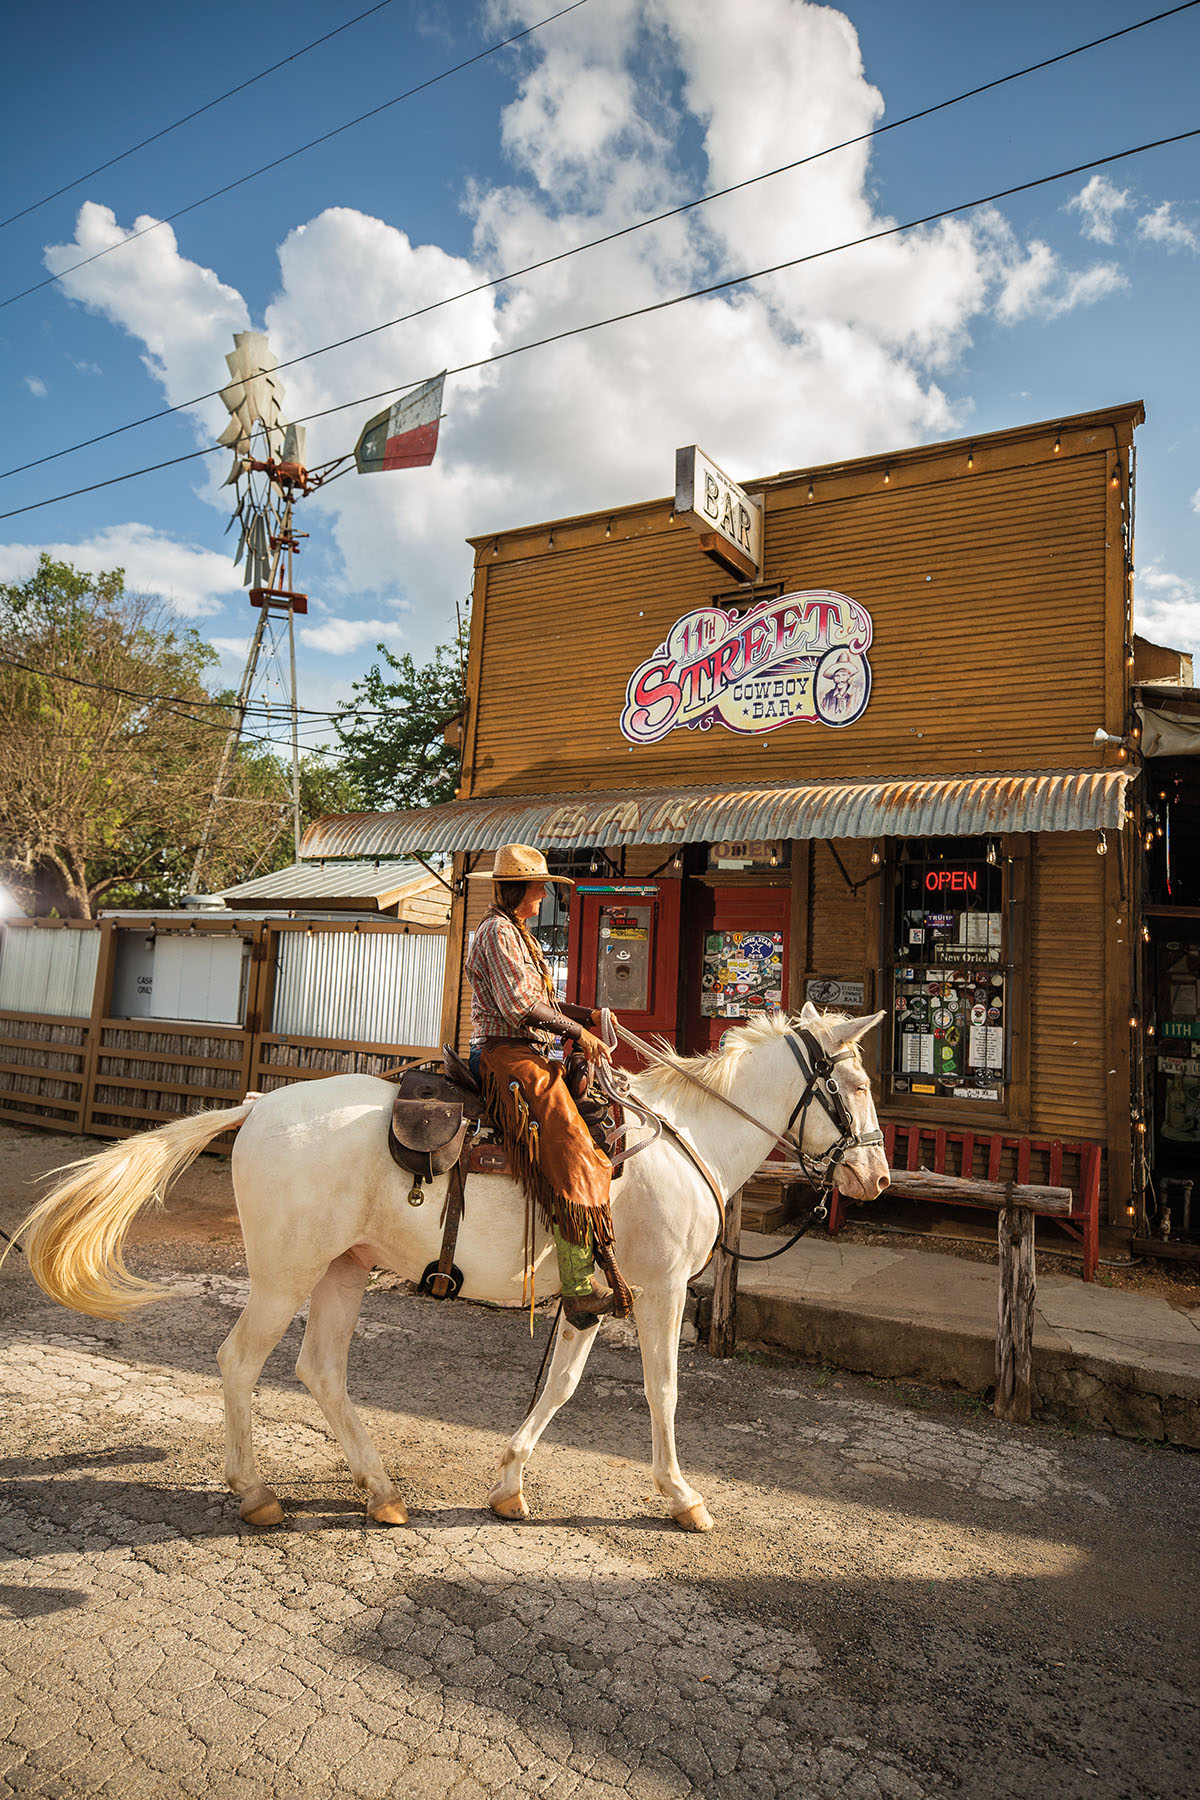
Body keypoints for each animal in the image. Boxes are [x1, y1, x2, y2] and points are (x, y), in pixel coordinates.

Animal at [14, 1008, 888, 1526]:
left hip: (342, 1270)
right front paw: (681, 1497)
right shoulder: (660, 1288)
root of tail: (259, 1105)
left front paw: (509, 1485)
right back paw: (258, 1494)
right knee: (239, 1361)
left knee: (319, 1370)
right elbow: (663, 1390)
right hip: (286, 1274)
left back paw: (381, 1492)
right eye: (853, 1082)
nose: (876, 1178)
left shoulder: (590, 1298)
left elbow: (559, 1387)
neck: (684, 1139)